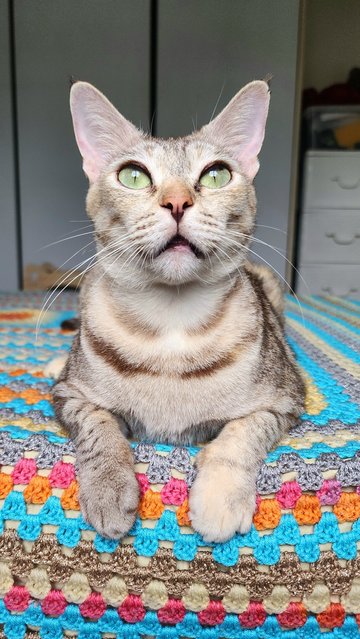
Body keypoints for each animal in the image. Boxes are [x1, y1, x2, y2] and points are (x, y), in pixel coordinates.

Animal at [52, 77, 304, 544]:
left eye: (216, 174)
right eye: (132, 175)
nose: (177, 203)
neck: (170, 323)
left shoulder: (286, 398)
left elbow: (241, 432)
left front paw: (220, 497)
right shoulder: (67, 395)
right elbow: (98, 427)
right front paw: (108, 487)